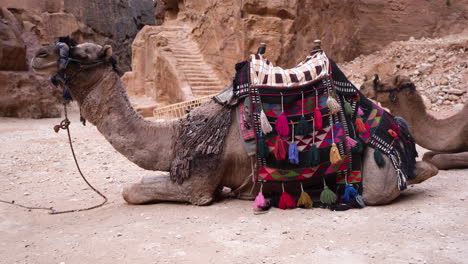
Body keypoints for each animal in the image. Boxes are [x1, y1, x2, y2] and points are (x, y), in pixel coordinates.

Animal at [31, 40, 436, 206]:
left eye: (85, 53)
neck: (175, 136)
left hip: (377, 178)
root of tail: (405, 152)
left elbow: (133, 192)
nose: (38, 54)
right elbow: (140, 184)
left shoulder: (199, 183)